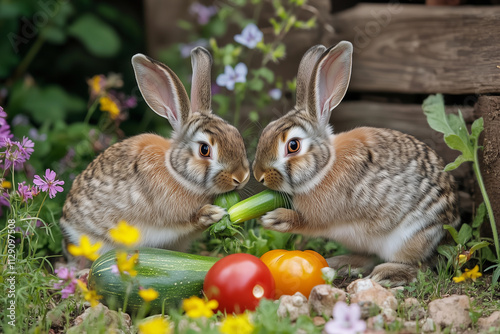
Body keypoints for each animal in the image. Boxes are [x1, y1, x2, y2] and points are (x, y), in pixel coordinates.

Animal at [62, 47, 250, 254]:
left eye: (237, 134)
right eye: (204, 149)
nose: (241, 177)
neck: (177, 173)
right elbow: (186, 221)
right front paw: (212, 213)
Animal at [254, 41, 460, 286]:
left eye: (293, 146)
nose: (258, 175)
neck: (324, 168)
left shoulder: (321, 216)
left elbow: (306, 222)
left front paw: (274, 219)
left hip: (411, 237)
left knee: (419, 266)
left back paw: (386, 274)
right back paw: (339, 263)